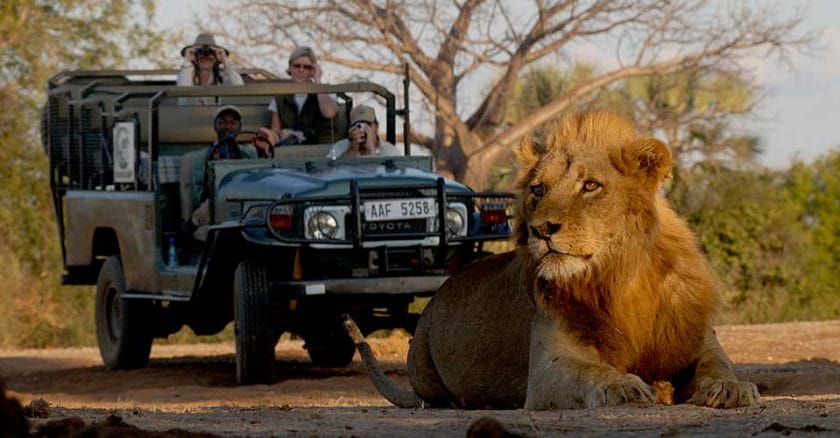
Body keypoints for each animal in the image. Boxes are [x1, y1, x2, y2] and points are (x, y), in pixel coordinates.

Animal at [342, 109, 760, 410]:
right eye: (539, 190)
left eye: (590, 186)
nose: (542, 229)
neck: (621, 279)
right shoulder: (546, 370)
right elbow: (590, 371)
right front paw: (624, 386)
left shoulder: (697, 338)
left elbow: (717, 365)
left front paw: (731, 388)